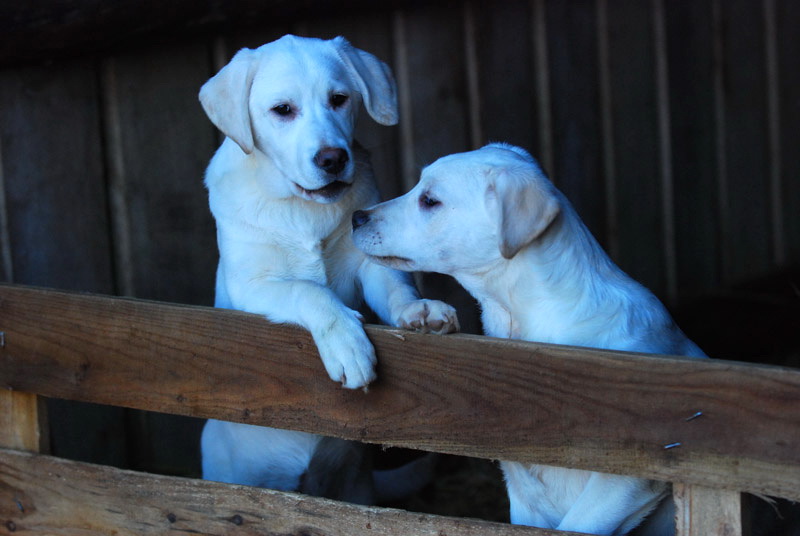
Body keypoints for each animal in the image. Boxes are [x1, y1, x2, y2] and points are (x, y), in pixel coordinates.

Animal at [199, 36, 456, 502]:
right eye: (282, 110)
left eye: (339, 99)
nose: (333, 158)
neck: (300, 208)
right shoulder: (251, 285)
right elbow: (309, 290)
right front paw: (347, 345)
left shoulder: (368, 265)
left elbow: (396, 289)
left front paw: (420, 311)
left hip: (356, 487)